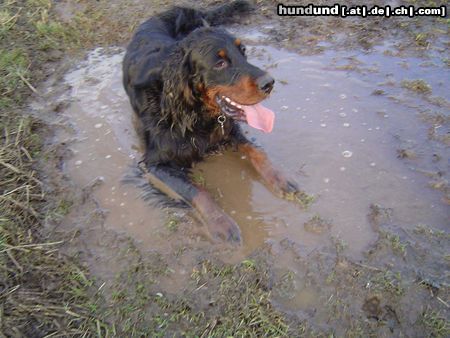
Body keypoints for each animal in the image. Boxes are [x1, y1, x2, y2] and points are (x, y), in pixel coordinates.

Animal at [121, 0, 300, 243]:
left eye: (243, 52)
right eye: (220, 63)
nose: (269, 83)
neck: (194, 112)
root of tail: (176, 9)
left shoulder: (228, 128)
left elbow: (257, 151)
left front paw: (279, 177)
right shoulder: (156, 164)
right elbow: (197, 191)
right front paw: (221, 223)